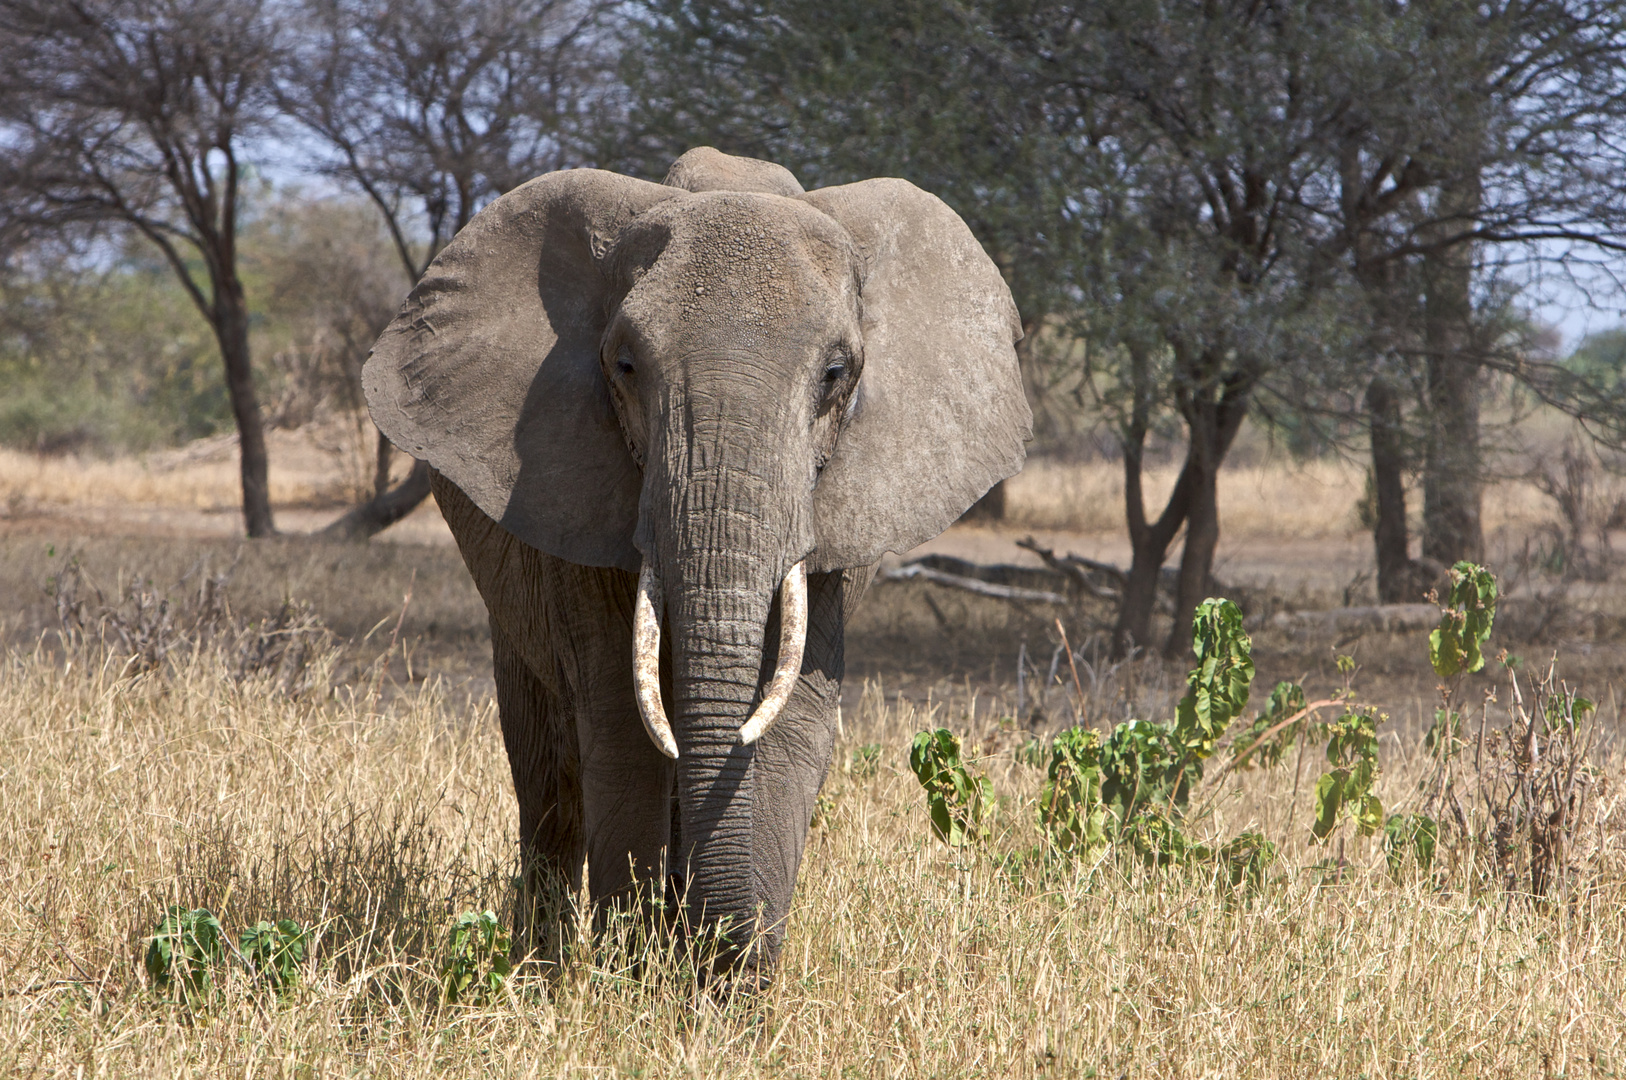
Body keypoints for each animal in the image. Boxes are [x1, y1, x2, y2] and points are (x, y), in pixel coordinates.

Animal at [365, 145, 1027, 988]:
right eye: (623, 365)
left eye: (837, 373)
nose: (714, 961)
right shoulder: (582, 488)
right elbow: (623, 722)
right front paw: (634, 985)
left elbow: (788, 720)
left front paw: (730, 999)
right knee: (548, 776)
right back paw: (543, 972)